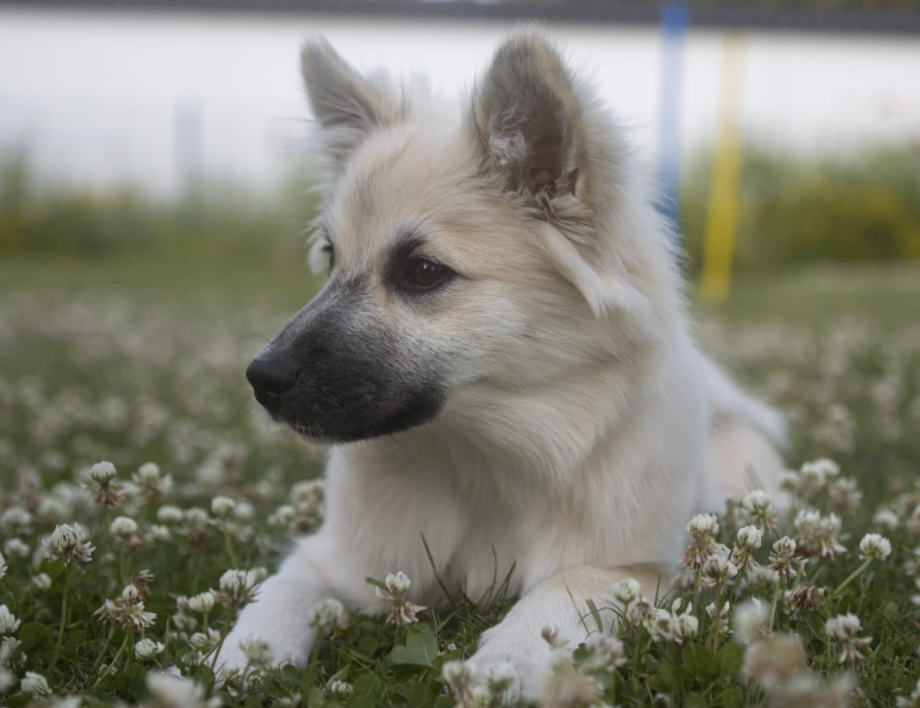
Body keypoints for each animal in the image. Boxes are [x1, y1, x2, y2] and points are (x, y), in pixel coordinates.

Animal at [221, 31, 784, 696]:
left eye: (422, 271)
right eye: (331, 257)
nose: (262, 378)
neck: (485, 458)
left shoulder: (633, 568)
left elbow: (561, 591)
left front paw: (507, 661)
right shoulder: (343, 560)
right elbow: (282, 589)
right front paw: (242, 656)